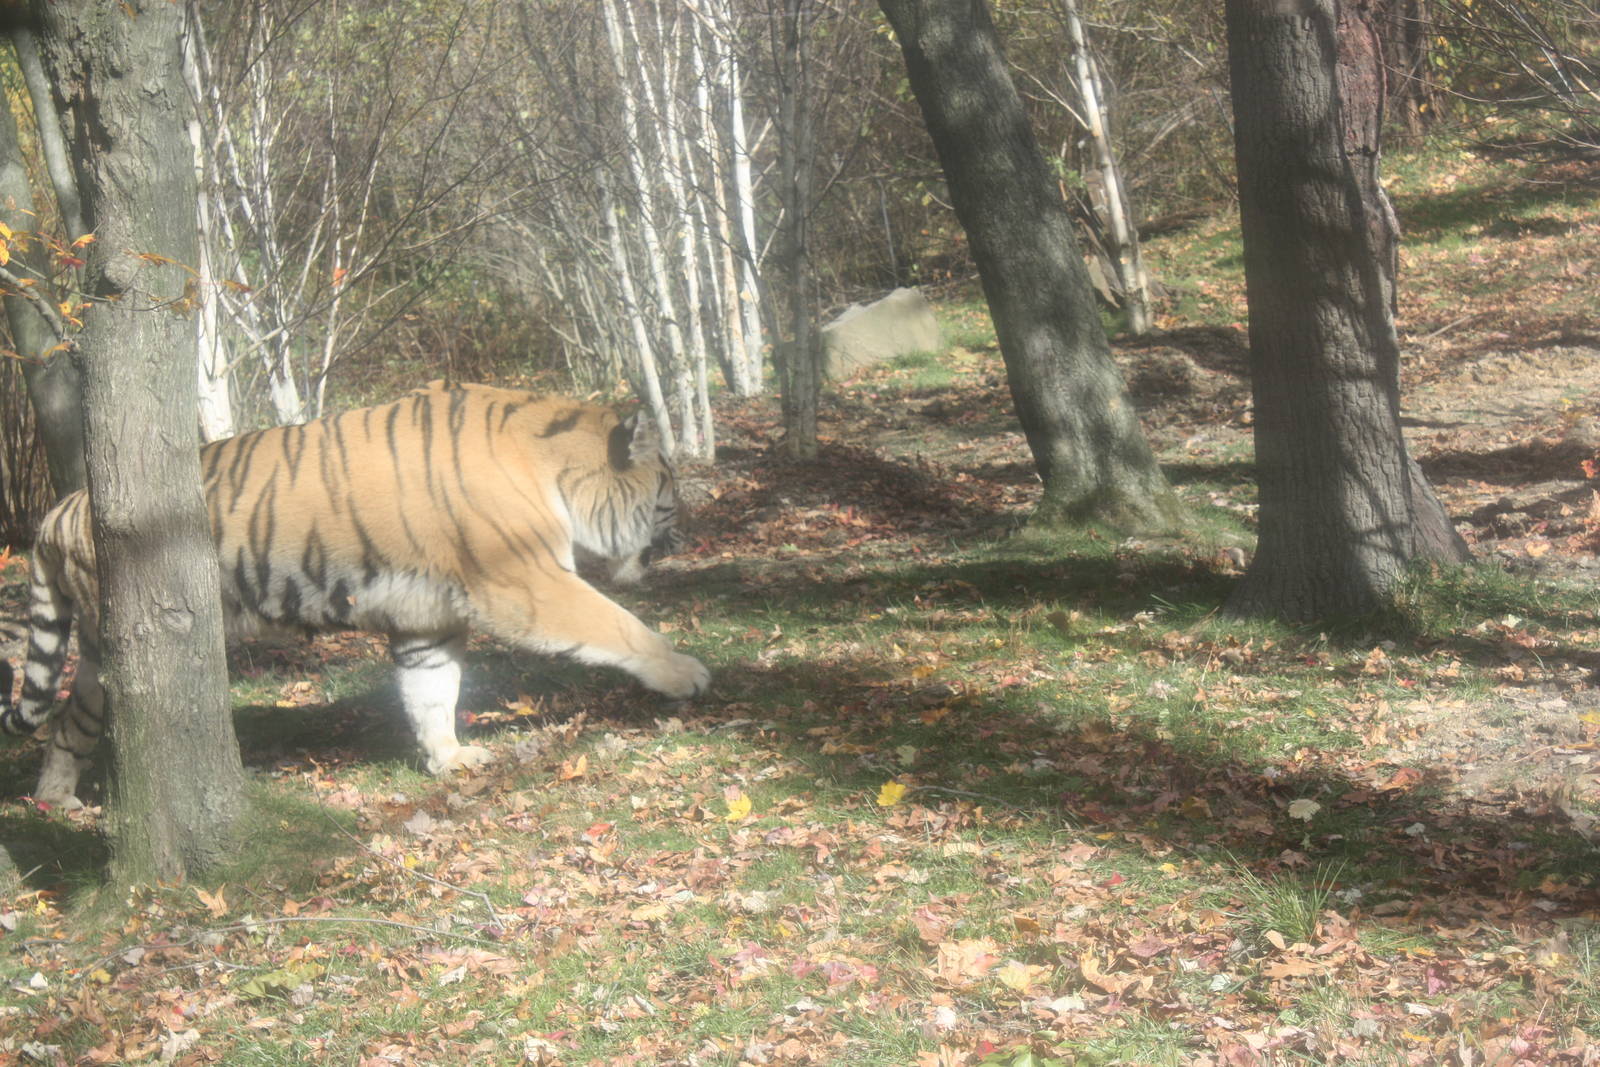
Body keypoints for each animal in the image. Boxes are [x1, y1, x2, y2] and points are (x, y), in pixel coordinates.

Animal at [0, 381, 710, 808]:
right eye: (670, 483)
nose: (687, 531)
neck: (556, 471)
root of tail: (61, 505)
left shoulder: (428, 618)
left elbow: (432, 692)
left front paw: (450, 759)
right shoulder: (526, 581)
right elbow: (617, 624)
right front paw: (687, 673)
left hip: (96, 652)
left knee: (67, 715)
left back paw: (57, 800)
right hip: (119, 635)